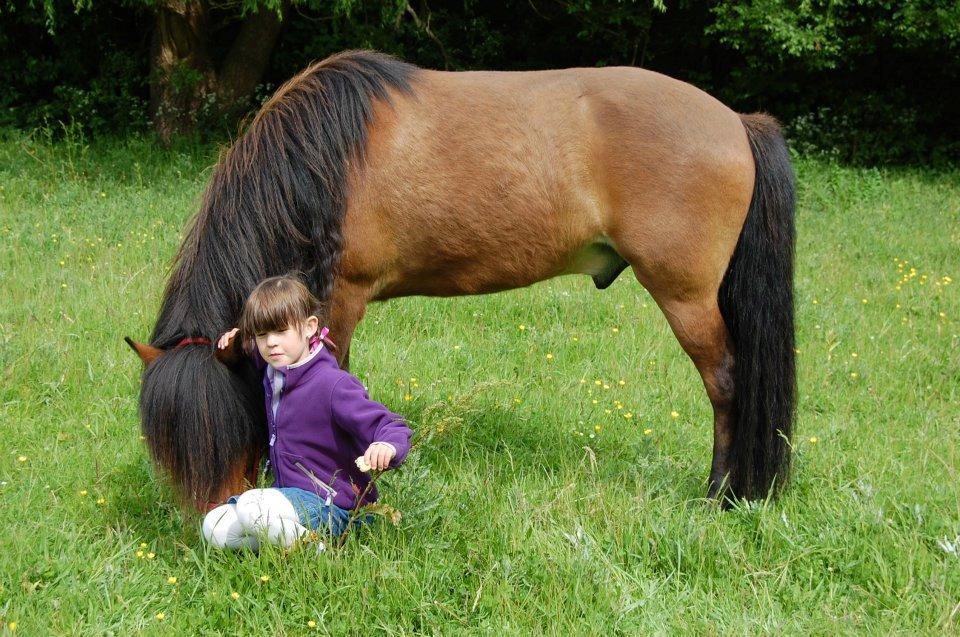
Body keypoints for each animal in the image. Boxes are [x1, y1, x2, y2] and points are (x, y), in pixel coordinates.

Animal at [125, 49, 796, 510]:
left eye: (216, 434)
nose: (211, 522)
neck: (321, 161)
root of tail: (735, 121)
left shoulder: (340, 299)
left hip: (686, 296)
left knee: (726, 382)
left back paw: (720, 492)